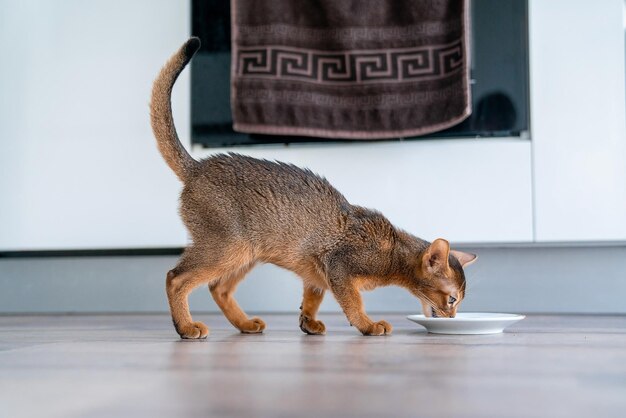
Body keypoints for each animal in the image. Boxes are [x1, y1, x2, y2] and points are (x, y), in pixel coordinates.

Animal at [149, 38, 476, 340]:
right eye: (451, 299)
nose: (451, 318)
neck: (393, 250)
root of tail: (197, 167)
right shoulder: (340, 266)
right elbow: (353, 302)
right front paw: (368, 325)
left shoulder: (318, 271)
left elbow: (313, 295)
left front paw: (308, 322)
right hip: (227, 246)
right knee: (175, 278)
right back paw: (186, 327)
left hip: (245, 253)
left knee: (218, 287)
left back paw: (245, 324)